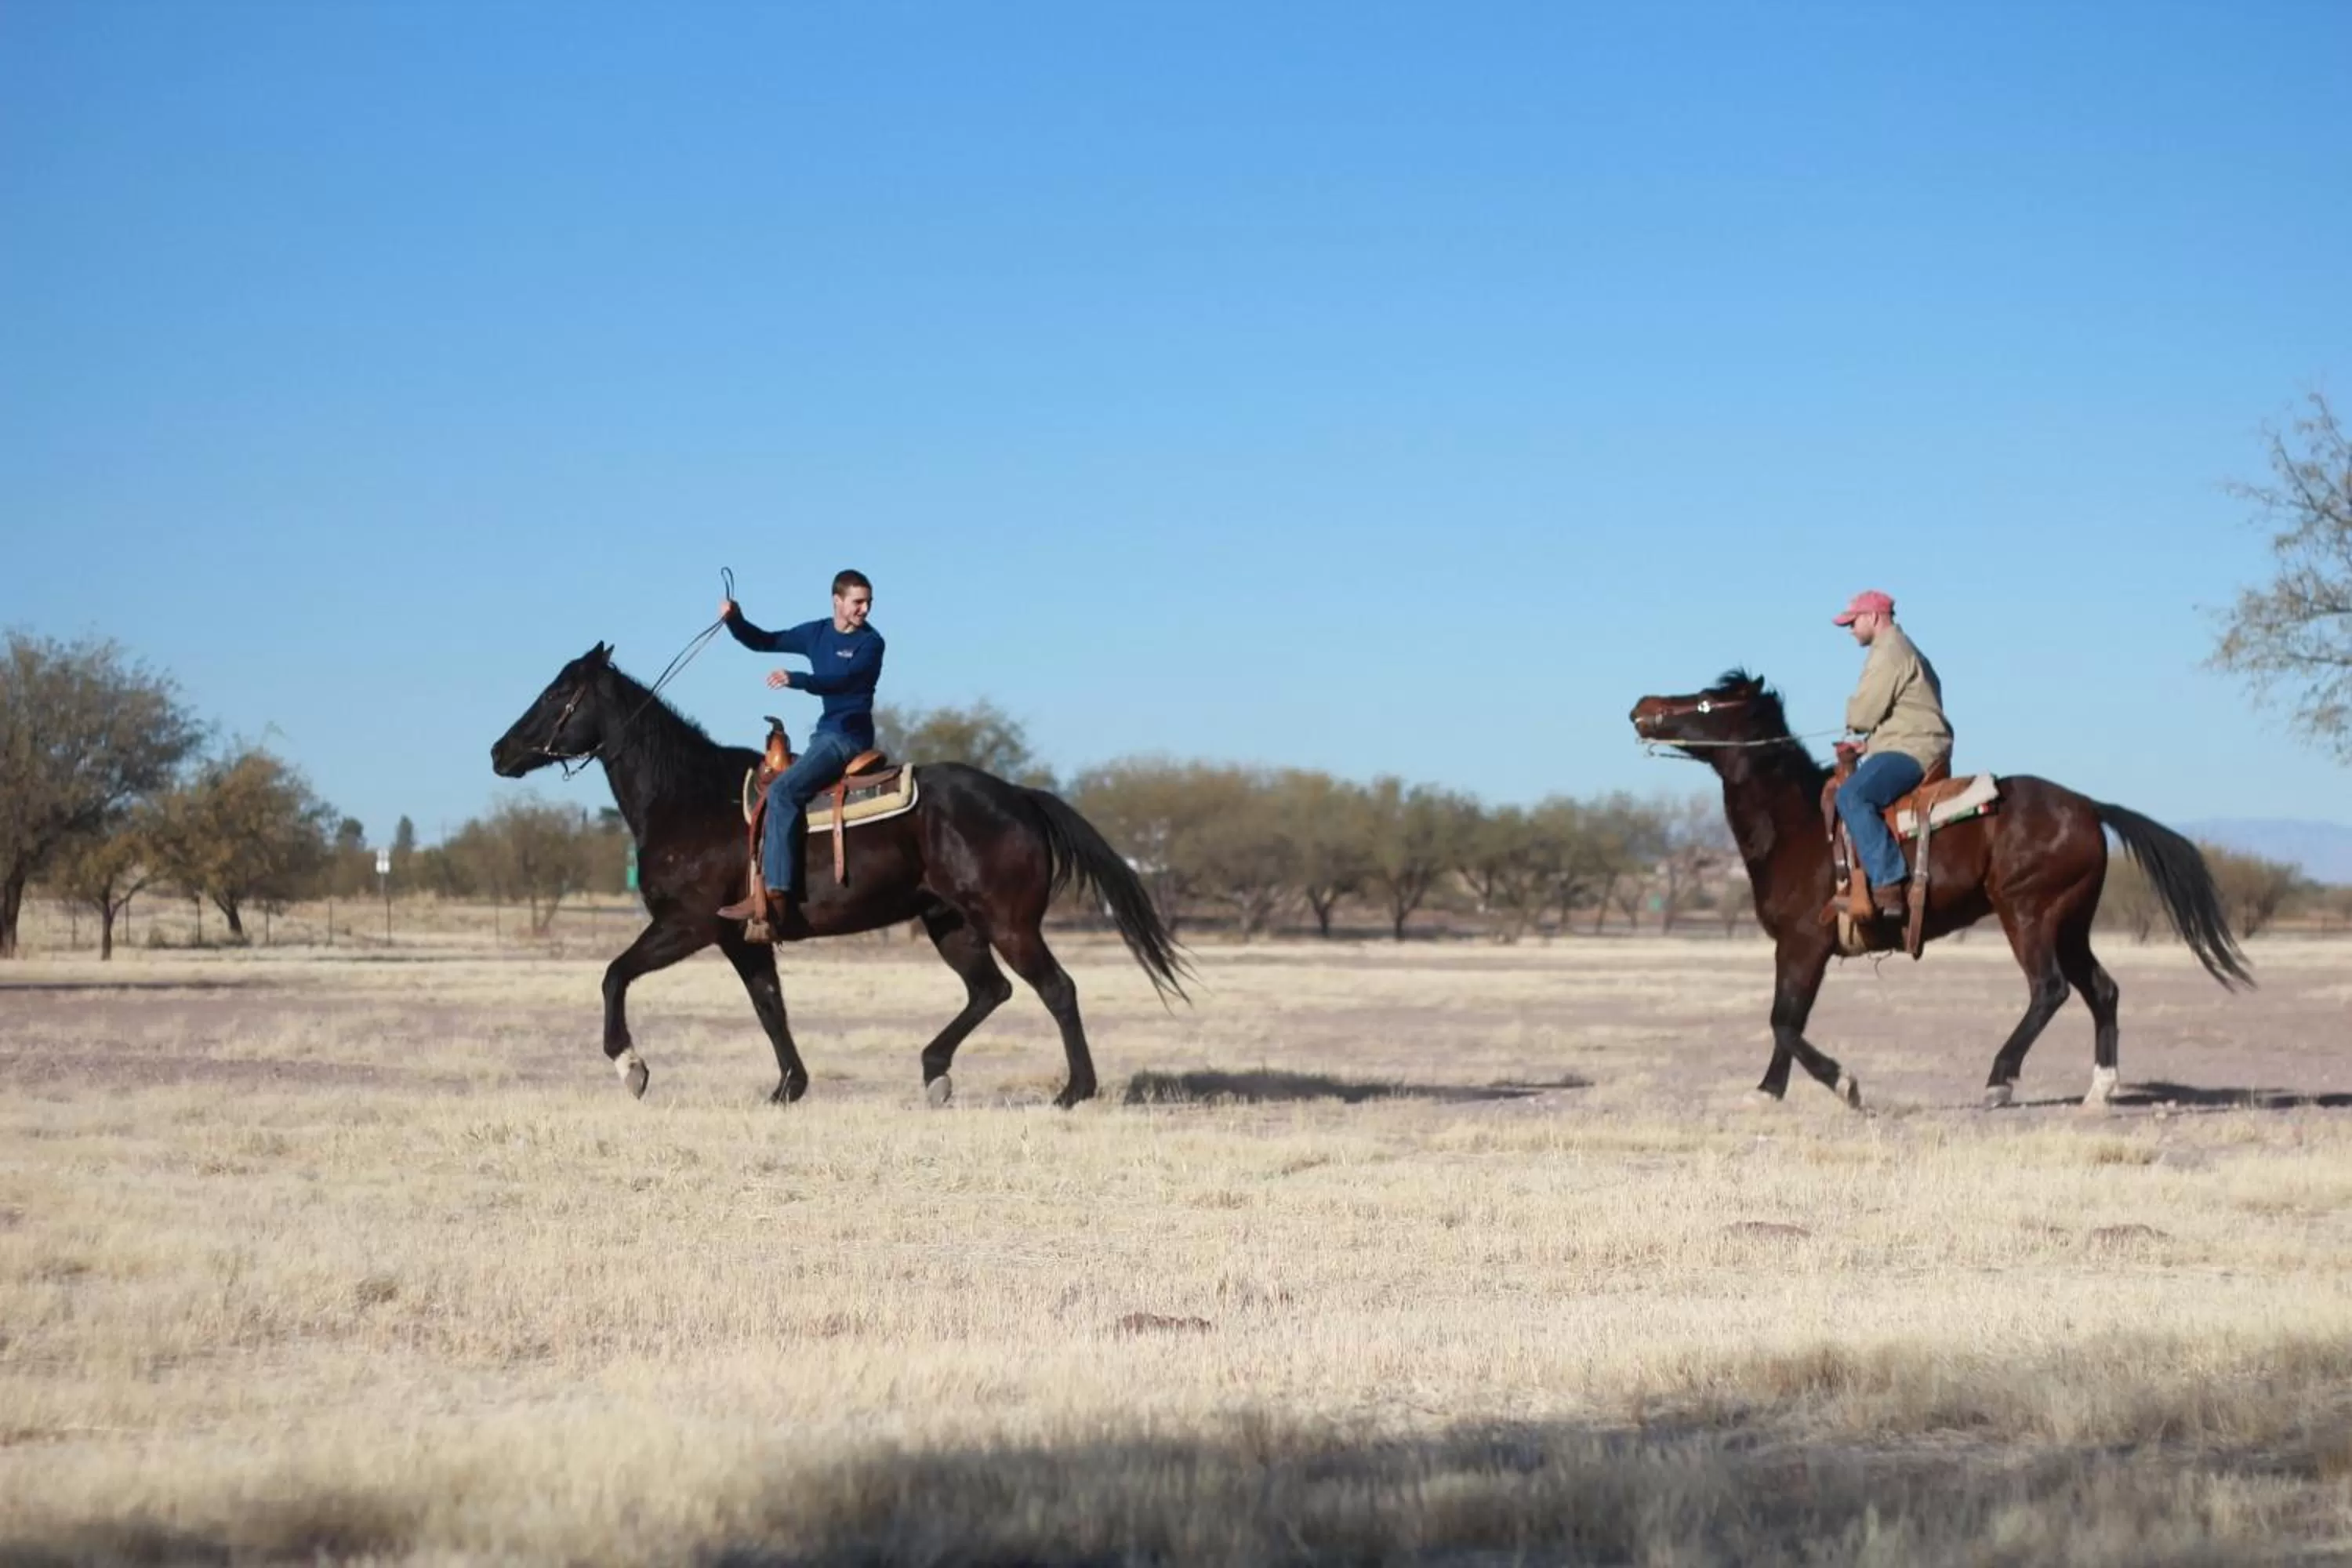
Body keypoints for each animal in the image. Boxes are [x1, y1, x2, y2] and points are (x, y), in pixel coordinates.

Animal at [488, 641, 1189, 1107]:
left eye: (559, 694)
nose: (500, 751)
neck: (689, 797)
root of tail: (1018, 796)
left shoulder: (687, 925)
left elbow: (614, 975)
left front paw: (630, 1066)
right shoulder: (740, 937)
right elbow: (770, 1007)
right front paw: (788, 1086)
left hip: (1009, 922)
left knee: (1056, 989)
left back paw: (1075, 1090)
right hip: (952, 923)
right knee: (990, 991)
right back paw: (935, 1070)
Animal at [1629, 671, 2250, 1111]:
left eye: (1705, 702)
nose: (1642, 707)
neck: (1799, 824)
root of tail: (2088, 806)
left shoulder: (1805, 944)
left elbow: (1785, 1020)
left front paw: (1844, 1084)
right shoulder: (1795, 948)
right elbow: (1789, 1019)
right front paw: (1767, 1090)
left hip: (2029, 914)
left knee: (2049, 990)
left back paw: (1999, 1081)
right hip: (2071, 921)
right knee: (2102, 990)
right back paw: (2100, 1090)